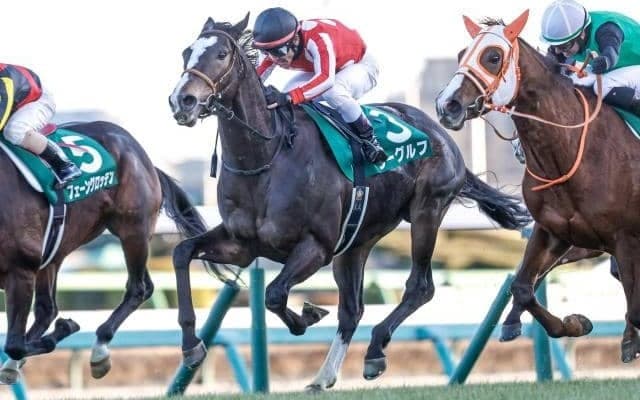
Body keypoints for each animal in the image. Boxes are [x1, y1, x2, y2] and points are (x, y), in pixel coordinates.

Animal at [0, 120, 214, 384]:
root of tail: (142, 154)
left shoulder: (21, 270)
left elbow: (14, 345)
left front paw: (66, 327)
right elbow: (16, 341)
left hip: (133, 230)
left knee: (139, 288)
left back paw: (100, 348)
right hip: (57, 252)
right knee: (47, 309)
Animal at [168, 14, 531, 391]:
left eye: (222, 53)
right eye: (186, 53)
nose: (183, 101)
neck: (267, 157)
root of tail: (440, 132)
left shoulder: (316, 246)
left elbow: (275, 294)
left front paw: (309, 314)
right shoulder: (242, 245)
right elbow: (182, 252)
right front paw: (191, 347)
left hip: (426, 211)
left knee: (419, 287)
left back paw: (374, 351)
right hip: (357, 241)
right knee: (353, 309)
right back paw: (323, 376)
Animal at [436, 10, 640, 362]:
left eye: (493, 57)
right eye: (462, 55)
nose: (447, 105)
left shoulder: (626, 238)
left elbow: (636, 302)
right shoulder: (553, 232)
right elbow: (521, 287)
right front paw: (575, 323)